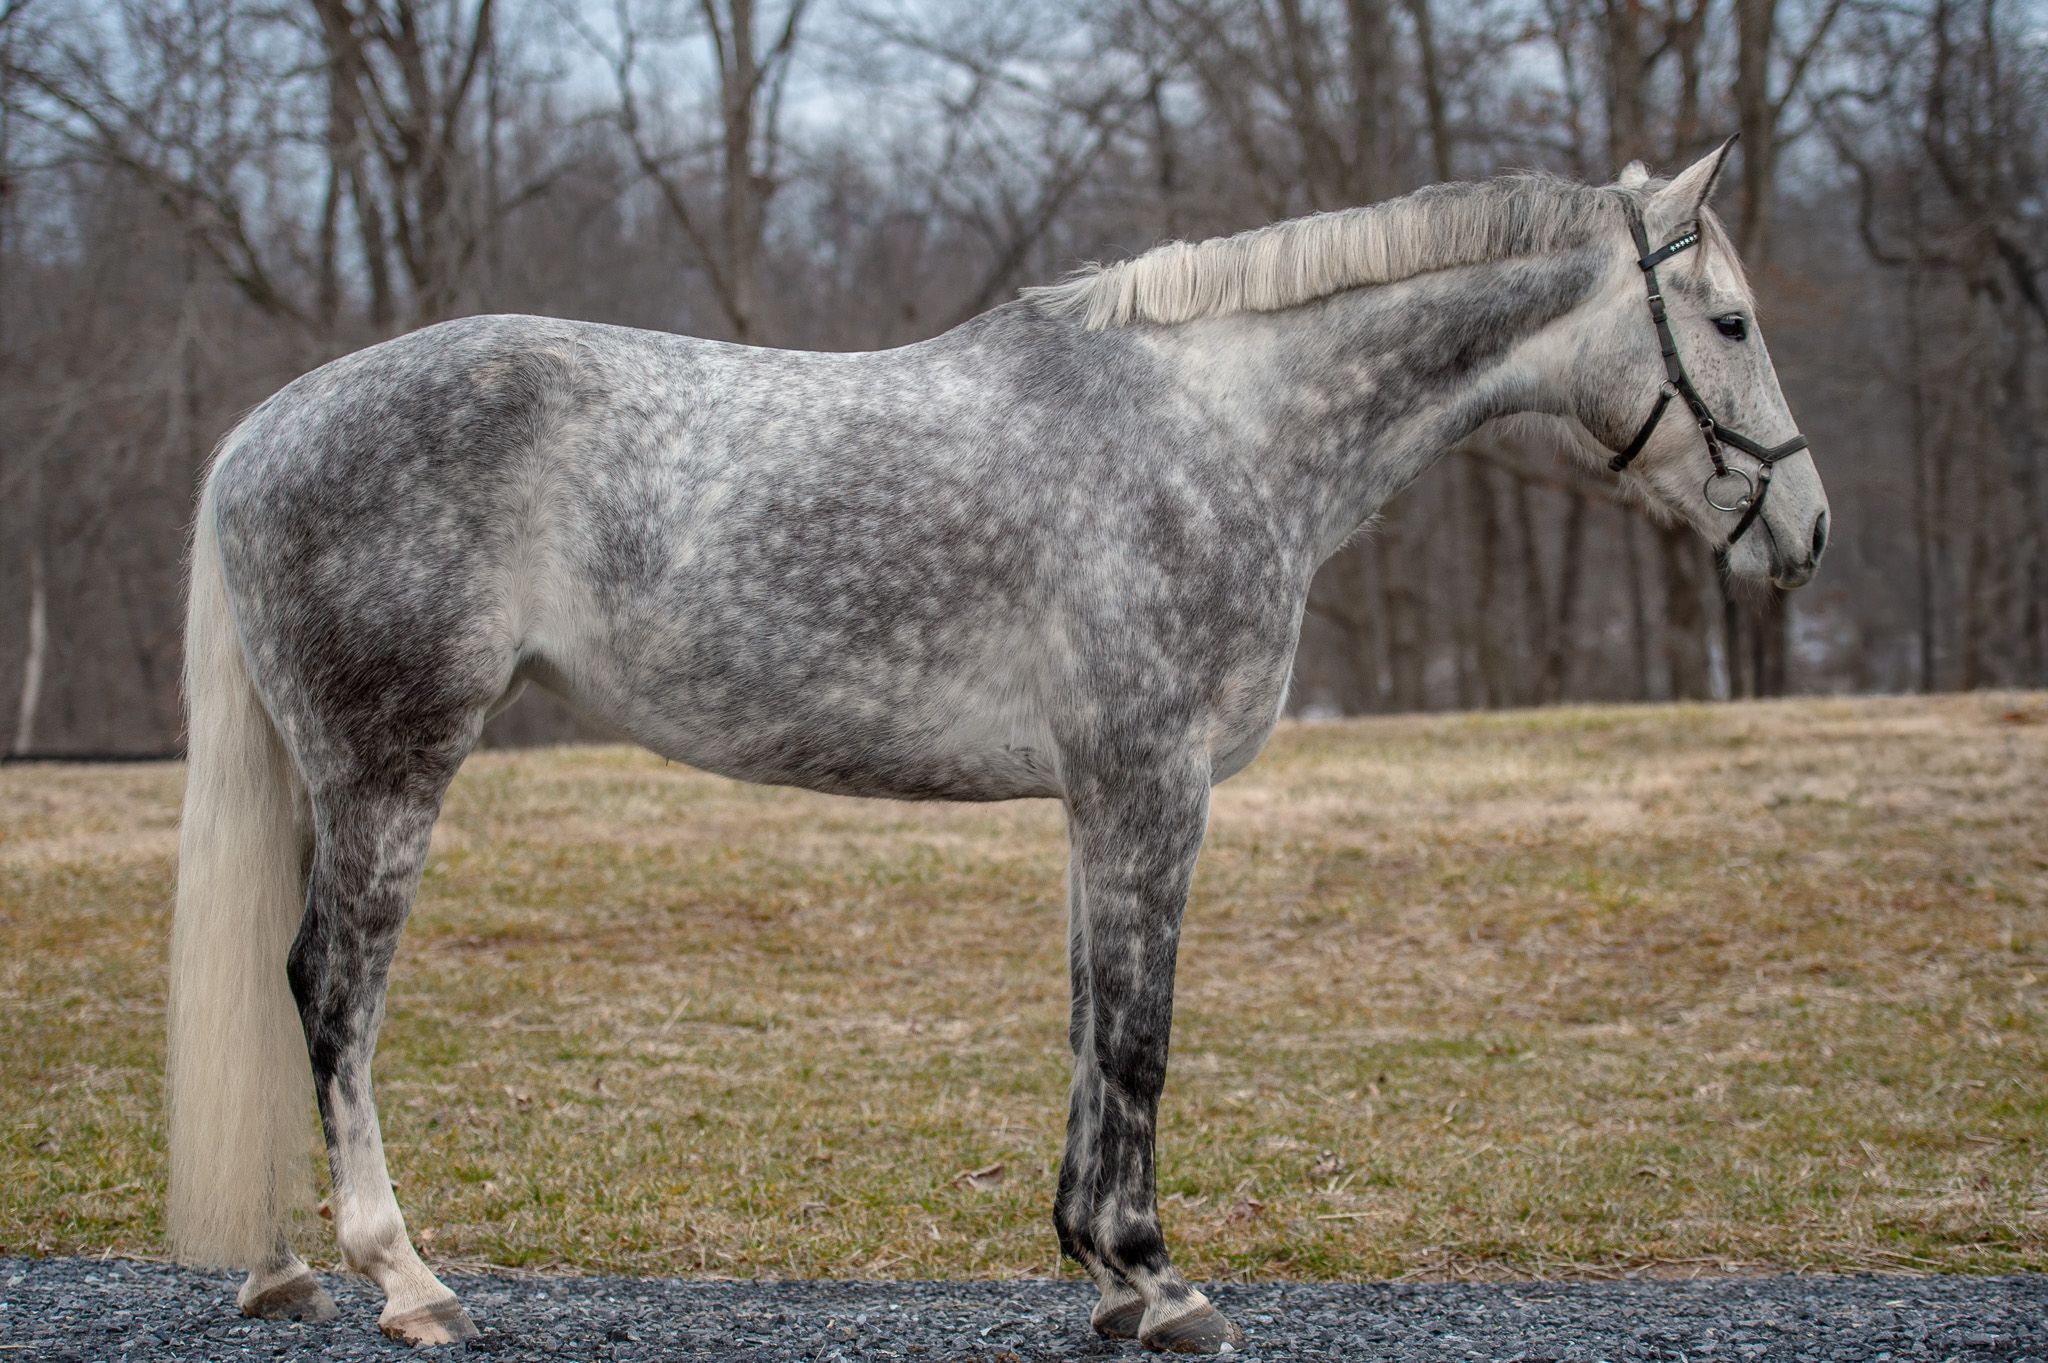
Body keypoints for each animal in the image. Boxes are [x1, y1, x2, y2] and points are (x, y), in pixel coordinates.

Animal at [167, 138, 1828, 1353]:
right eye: (1731, 323)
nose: (1805, 531)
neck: (1218, 426)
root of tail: (258, 431)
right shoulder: (1154, 781)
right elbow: (1144, 1035)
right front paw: (1162, 1280)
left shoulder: (1102, 794)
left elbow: (1095, 1024)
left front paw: (1103, 1266)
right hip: (390, 769)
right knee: (332, 993)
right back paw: (406, 1279)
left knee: (279, 986)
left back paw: (278, 1267)